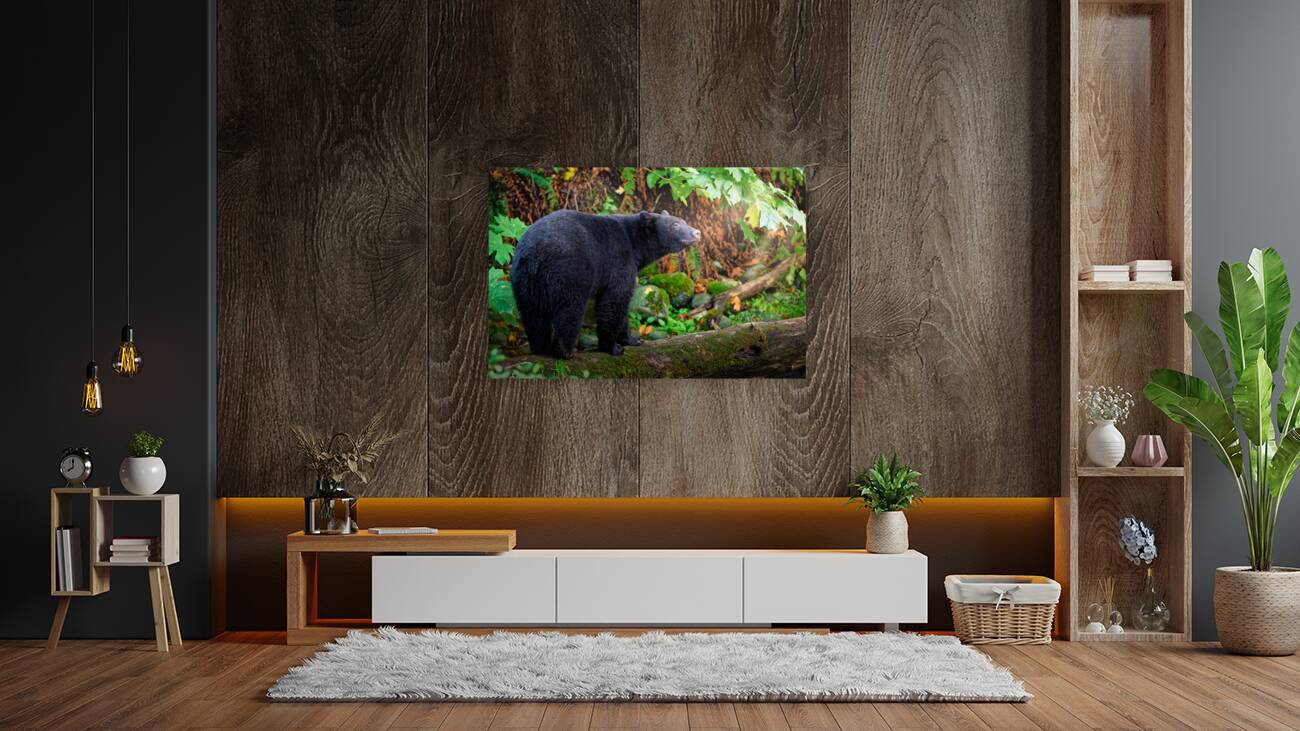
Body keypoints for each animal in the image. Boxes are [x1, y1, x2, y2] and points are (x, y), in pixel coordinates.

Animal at [510, 209, 701, 359]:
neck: (634, 243)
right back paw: (565, 351)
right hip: (569, 272)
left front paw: (633, 339)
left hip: (524, 280)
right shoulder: (619, 260)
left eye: (683, 221)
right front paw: (613, 347)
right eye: (675, 225)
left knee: (532, 314)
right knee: (570, 310)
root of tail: (537, 252)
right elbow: (615, 301)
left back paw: (540, 348)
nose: (697, 232)